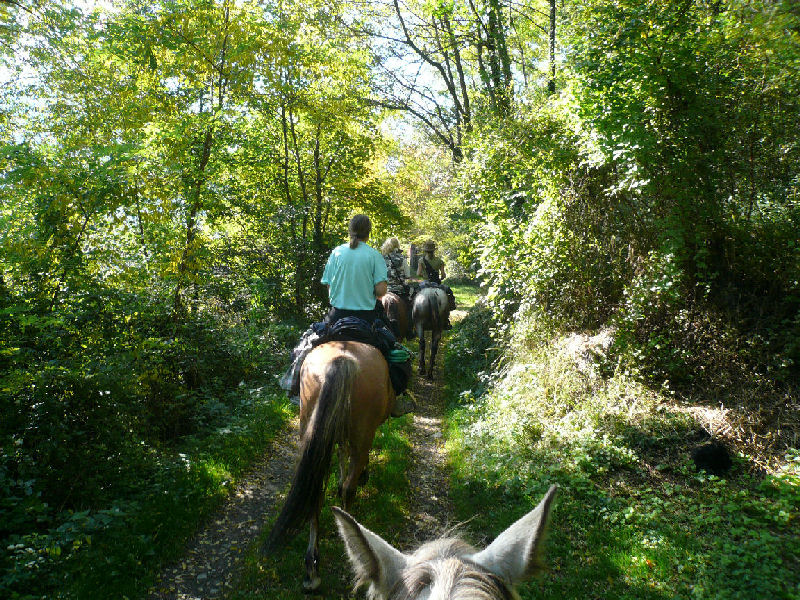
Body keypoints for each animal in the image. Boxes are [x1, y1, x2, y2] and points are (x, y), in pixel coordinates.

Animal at [262, 342, 396, 592]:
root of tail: (341, 360)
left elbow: (341, 454)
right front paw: (362, 475)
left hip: (310, 429)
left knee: (315, 494)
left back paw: (311, 569)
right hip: (362, 435)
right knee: (349, 489)